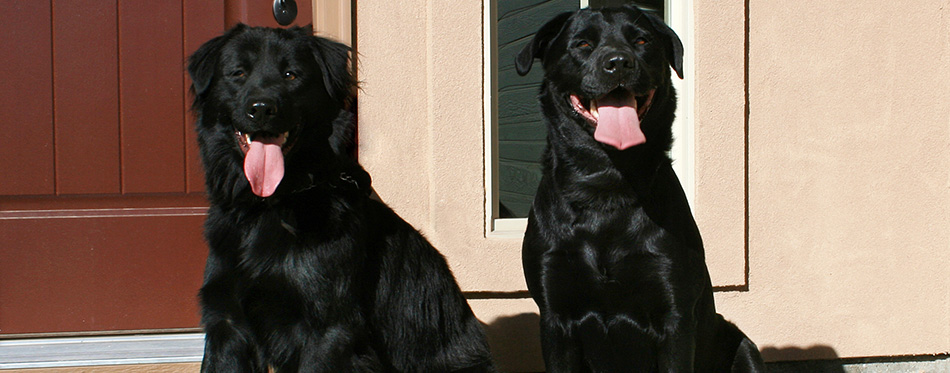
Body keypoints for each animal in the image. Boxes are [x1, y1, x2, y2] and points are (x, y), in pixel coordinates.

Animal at [516, 5, 768, 372]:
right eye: (582, 44)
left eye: (641, 40)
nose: (619, 62)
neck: (607, 185)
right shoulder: (554, 315)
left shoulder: (675, 314)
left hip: (743, 346)